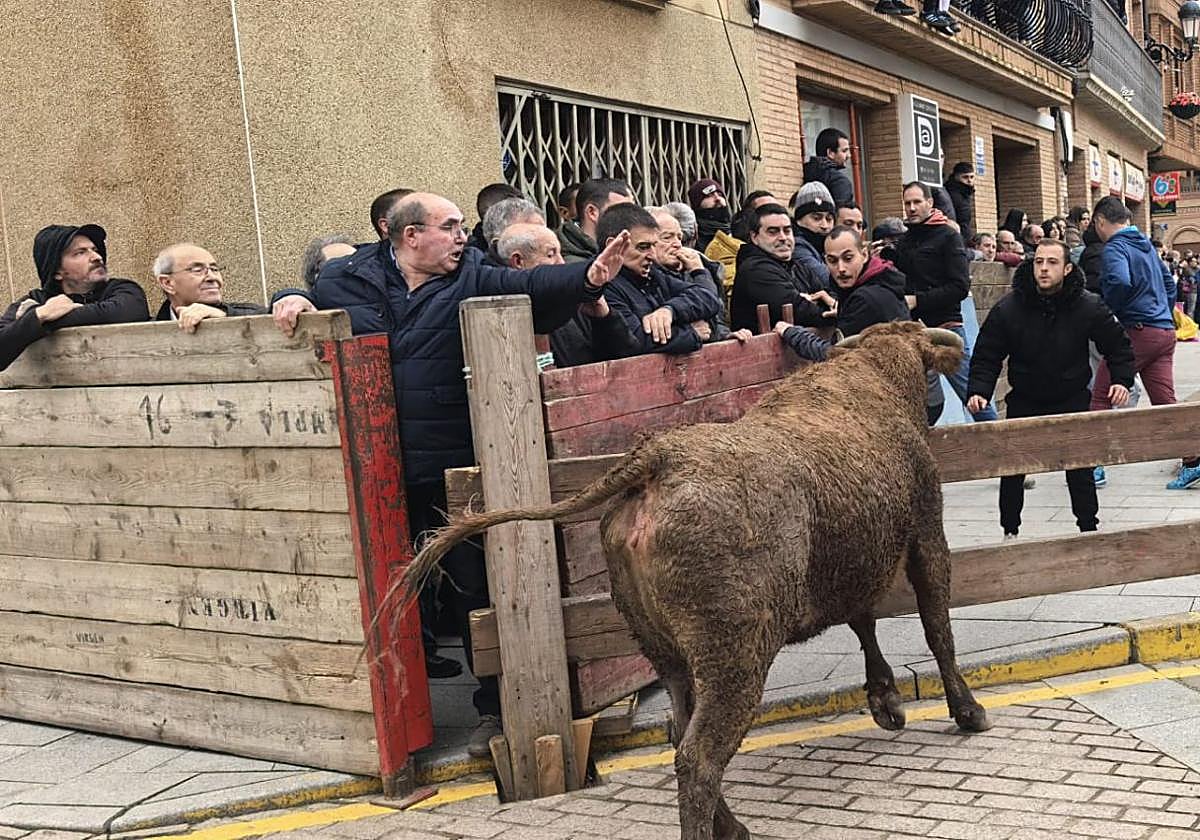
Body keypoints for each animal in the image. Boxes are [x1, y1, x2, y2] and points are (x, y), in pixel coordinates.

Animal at [395, 321, 992, 840]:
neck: (875, 378)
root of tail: (660, 458)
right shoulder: (926, 530)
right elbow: (936, 625)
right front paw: (966, 710)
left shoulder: (852, 561)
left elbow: (864, 621)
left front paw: (886, 700)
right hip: (736, 655)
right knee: (698, 755)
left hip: (664, 648)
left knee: (681, 731)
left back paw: (736, 826)